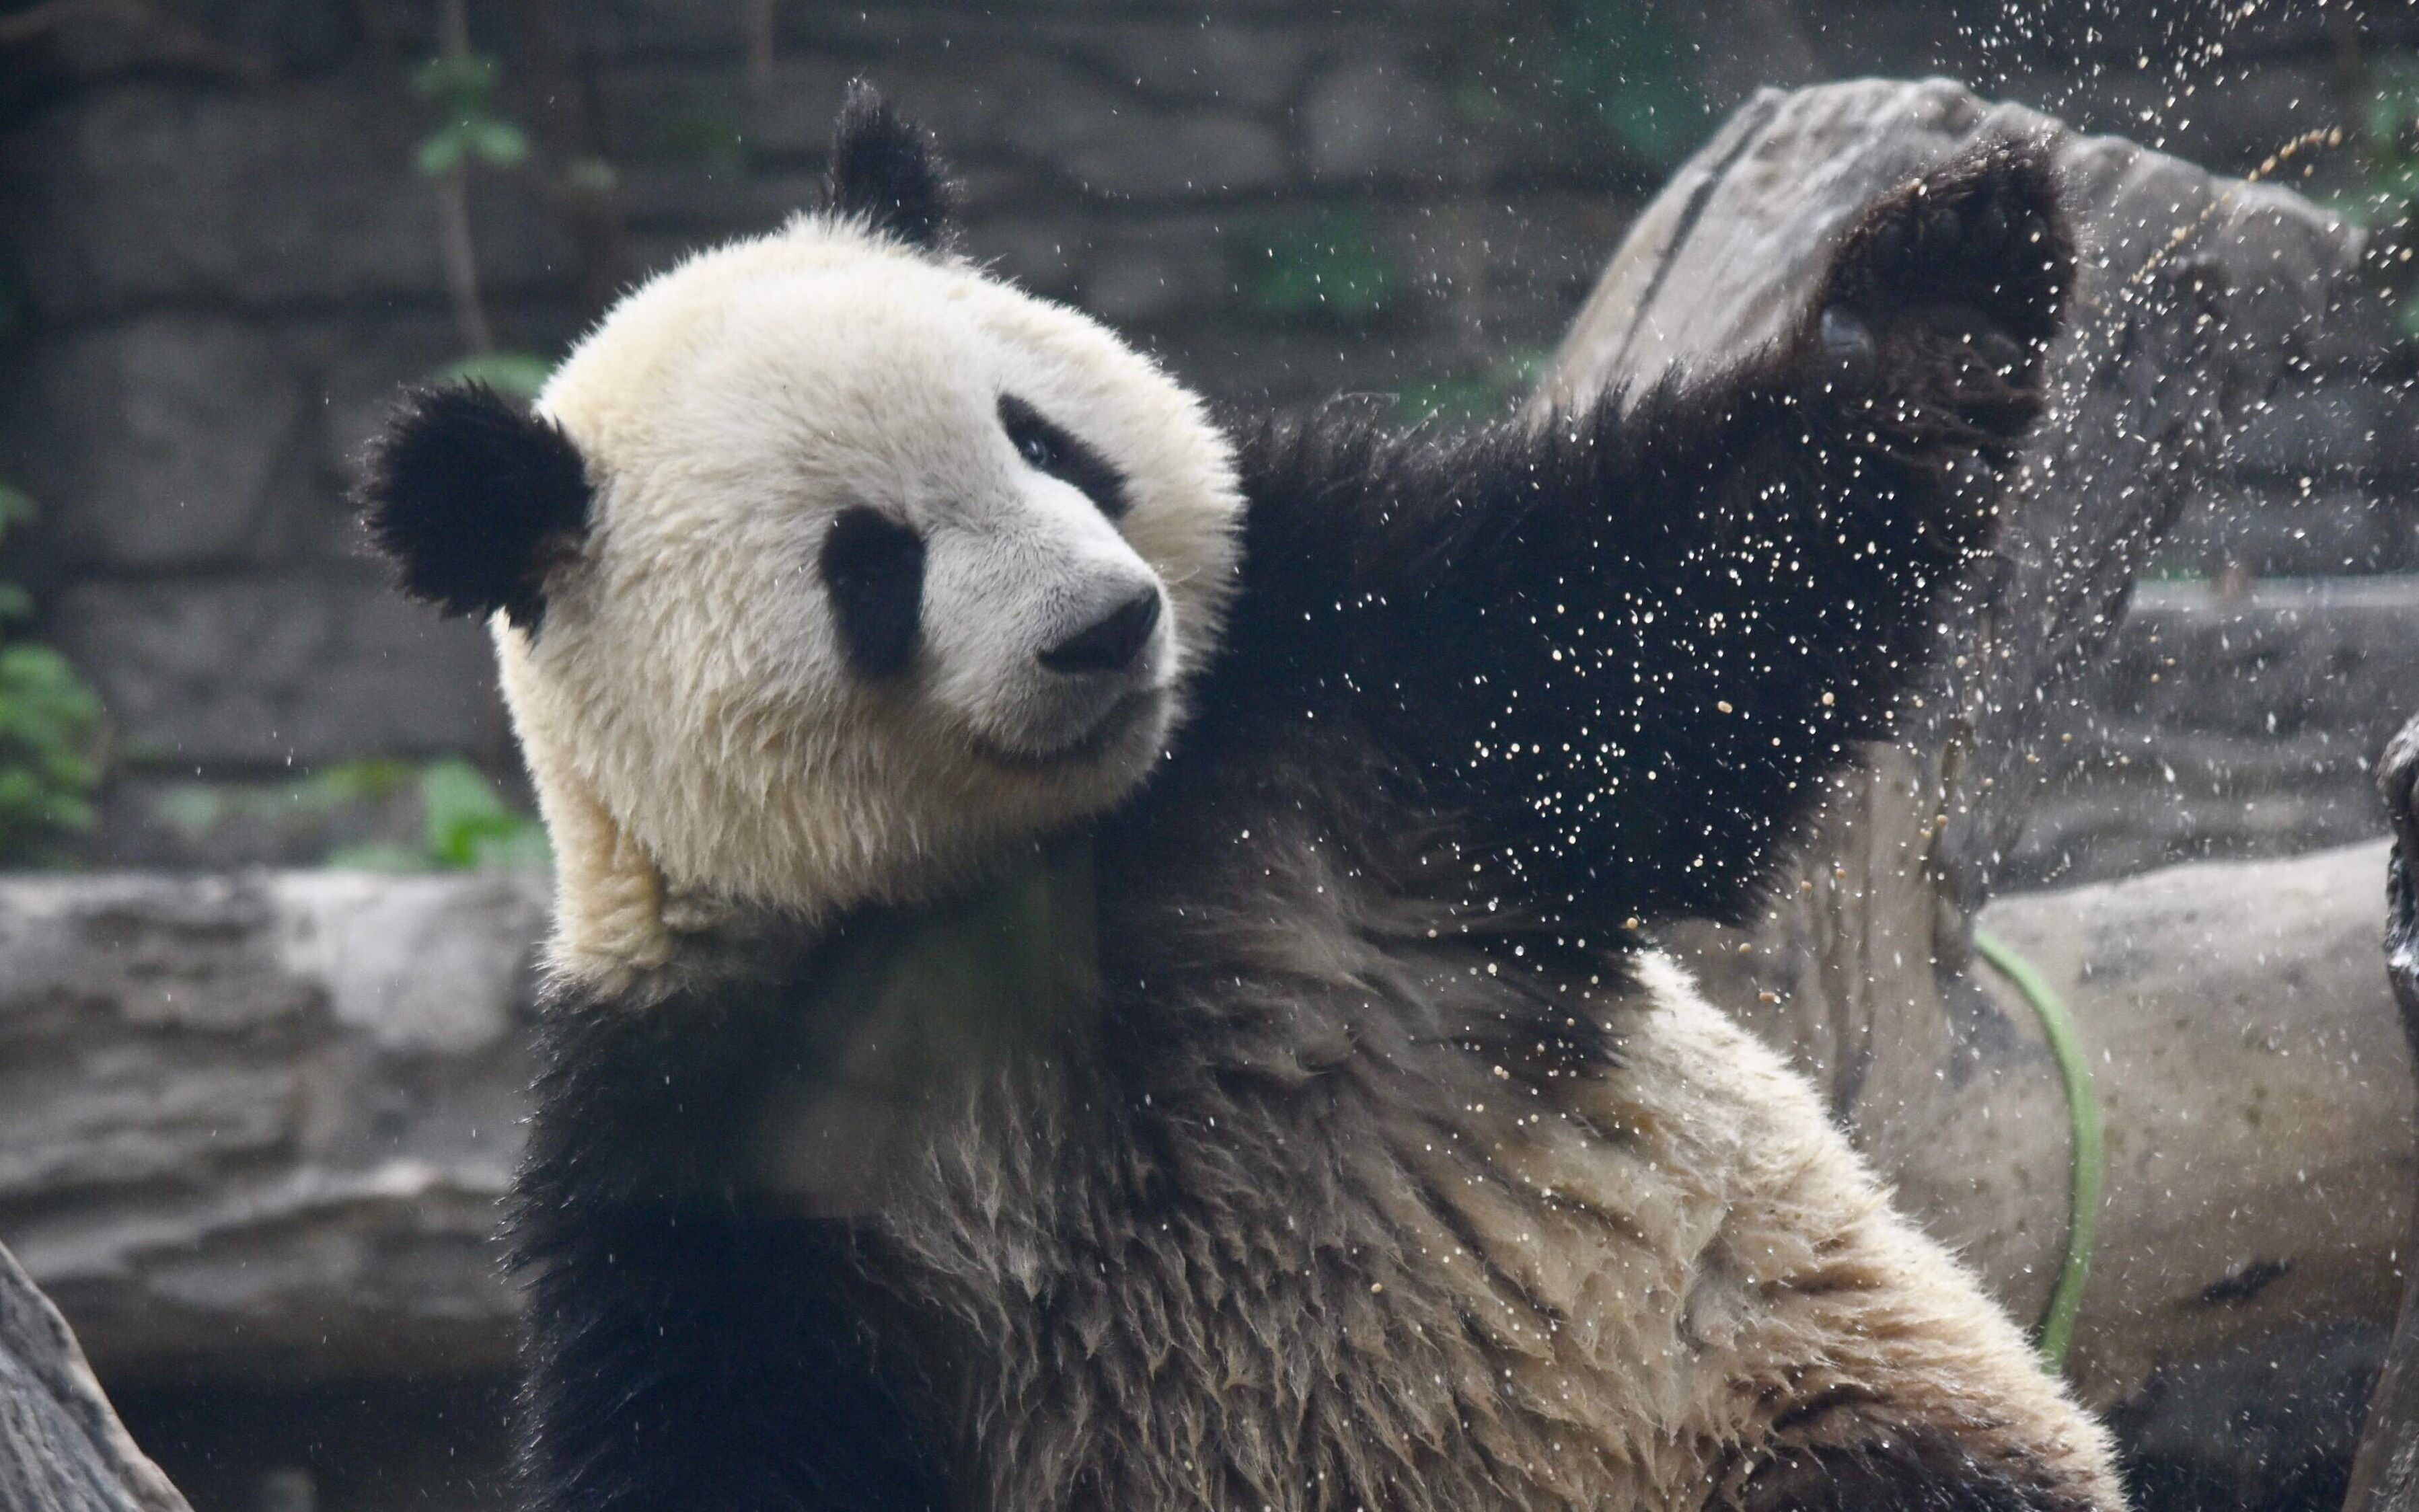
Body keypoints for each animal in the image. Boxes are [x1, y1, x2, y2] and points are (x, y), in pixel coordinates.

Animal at [353, 79, 2119, 1509]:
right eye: (870, 563)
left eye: (1043, 438)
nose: (1104, 627)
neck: (1034, 860)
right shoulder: (718, 1116)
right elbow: (709, 1412)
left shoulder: (1337, 701)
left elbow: (1647, 632)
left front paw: (1945, 273)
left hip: (1774, 1378)